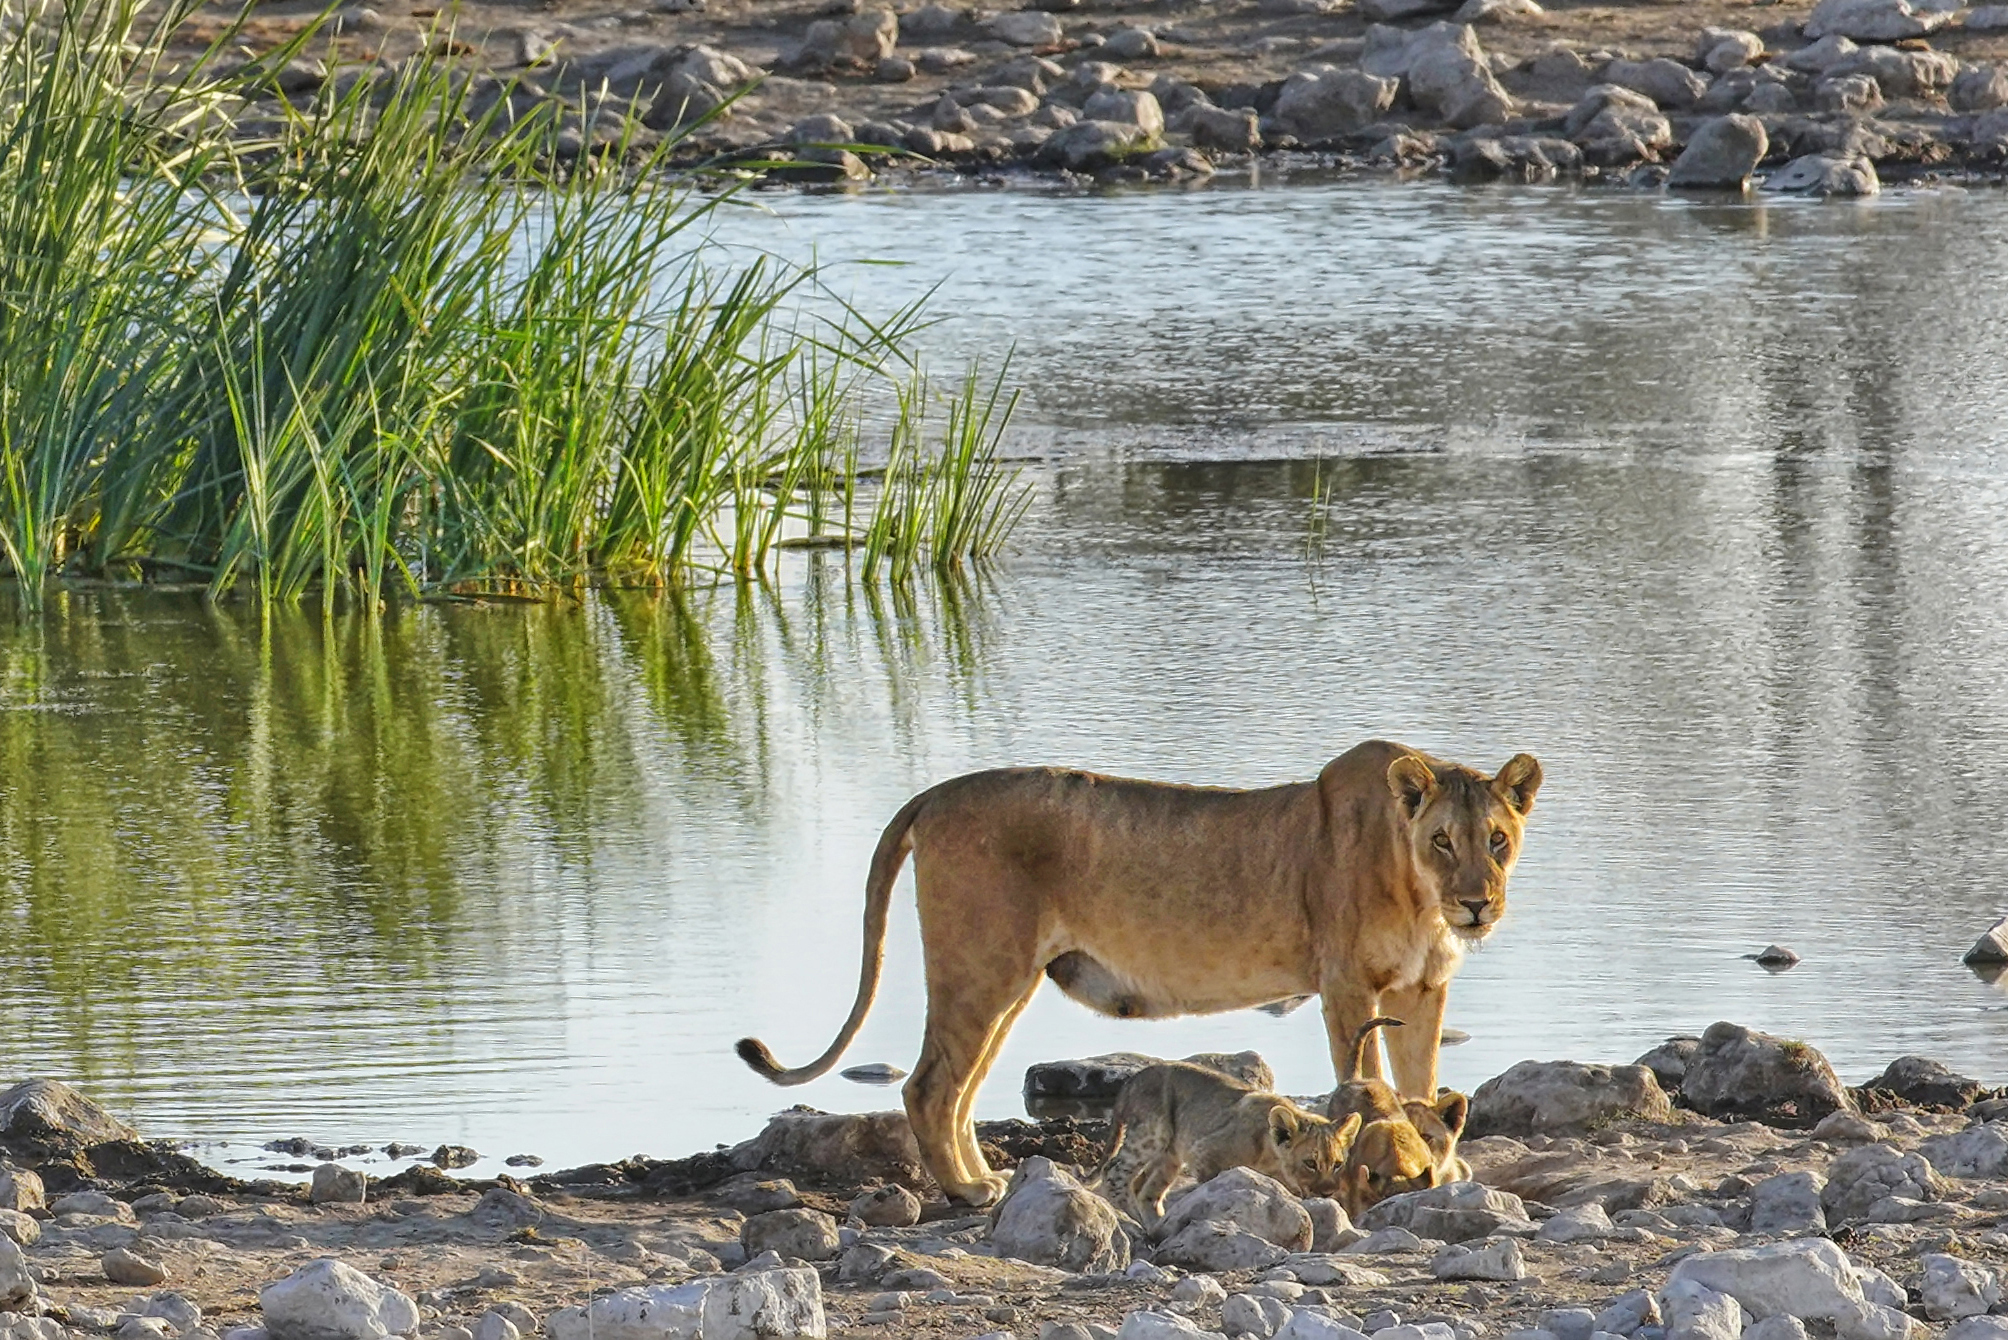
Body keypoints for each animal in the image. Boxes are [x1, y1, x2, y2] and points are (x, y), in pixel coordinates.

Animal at [734, 739, 1534, 1213]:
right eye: (1442, 840)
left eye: (1497, 839)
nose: (1477, 904)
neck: (1422, 897)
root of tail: (936, 792)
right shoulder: (1347, 987)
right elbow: (1369, 1087)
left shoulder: (1421, 991)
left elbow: (1422, 1085)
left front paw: (1436, 1164)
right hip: (981, 966)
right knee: (928, 1086)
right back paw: (964, 1190)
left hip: (1008, 982)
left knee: (958, 1086)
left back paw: (984, 1177)